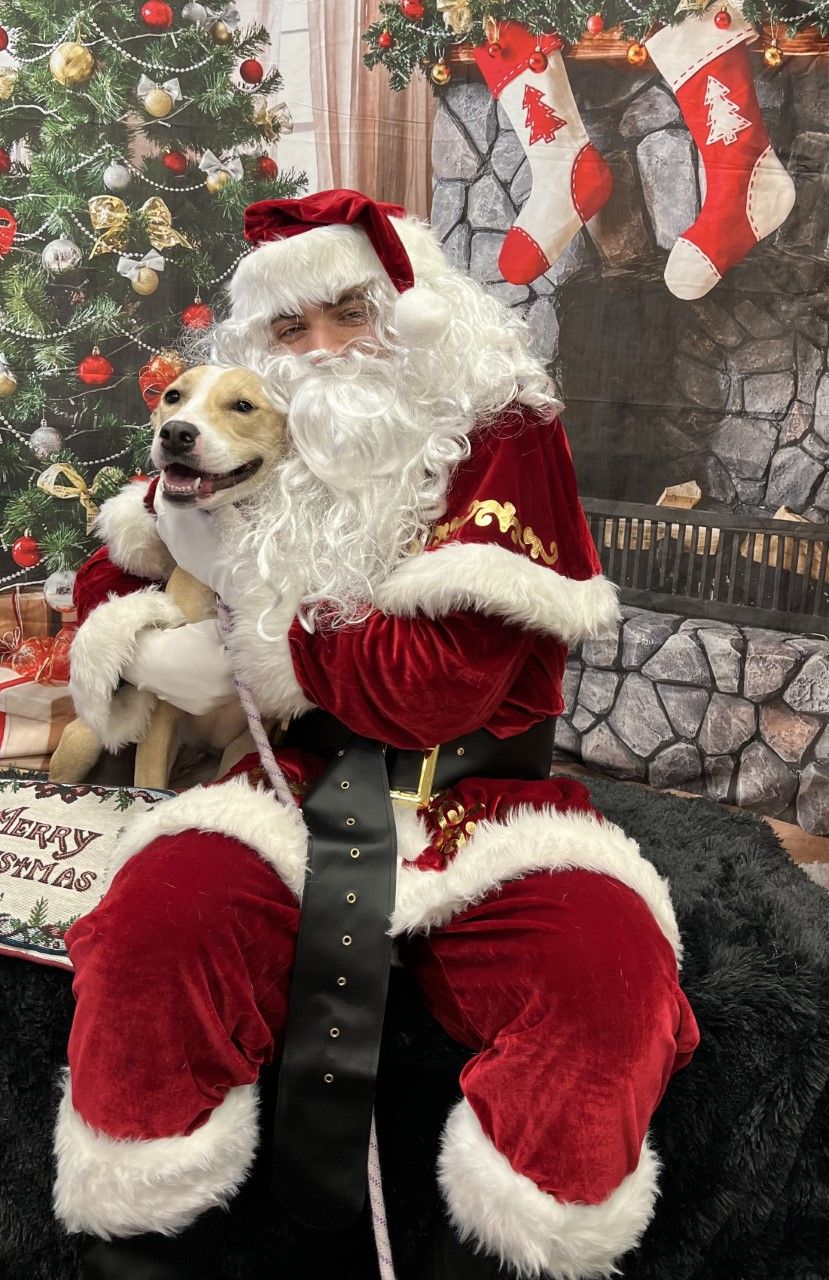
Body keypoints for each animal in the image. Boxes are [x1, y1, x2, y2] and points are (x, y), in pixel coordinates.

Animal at [49, 363, 287, 788]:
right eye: (173, 396)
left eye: (243, 406)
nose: (176, 432)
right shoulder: (164, 709)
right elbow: (149, 784)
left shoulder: (248, 741)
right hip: (85, 738)